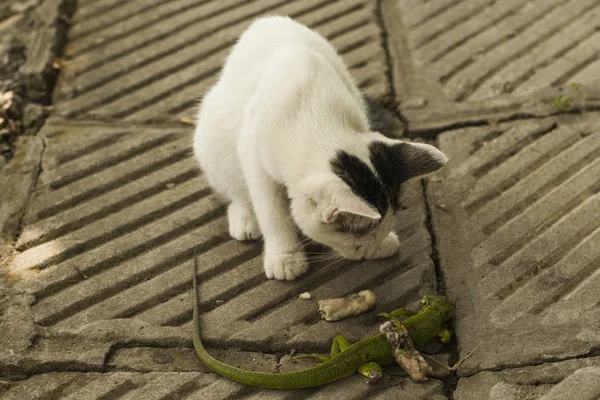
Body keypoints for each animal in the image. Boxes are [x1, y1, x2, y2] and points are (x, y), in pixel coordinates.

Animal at [195, 16, 448, 282]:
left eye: (389, 221)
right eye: (355, 233)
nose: (367, 253)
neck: (315, 115)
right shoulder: (252, 153)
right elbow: (270, 207)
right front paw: (285, 256)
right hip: (212, 139)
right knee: (236, 188)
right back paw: (244, 217)